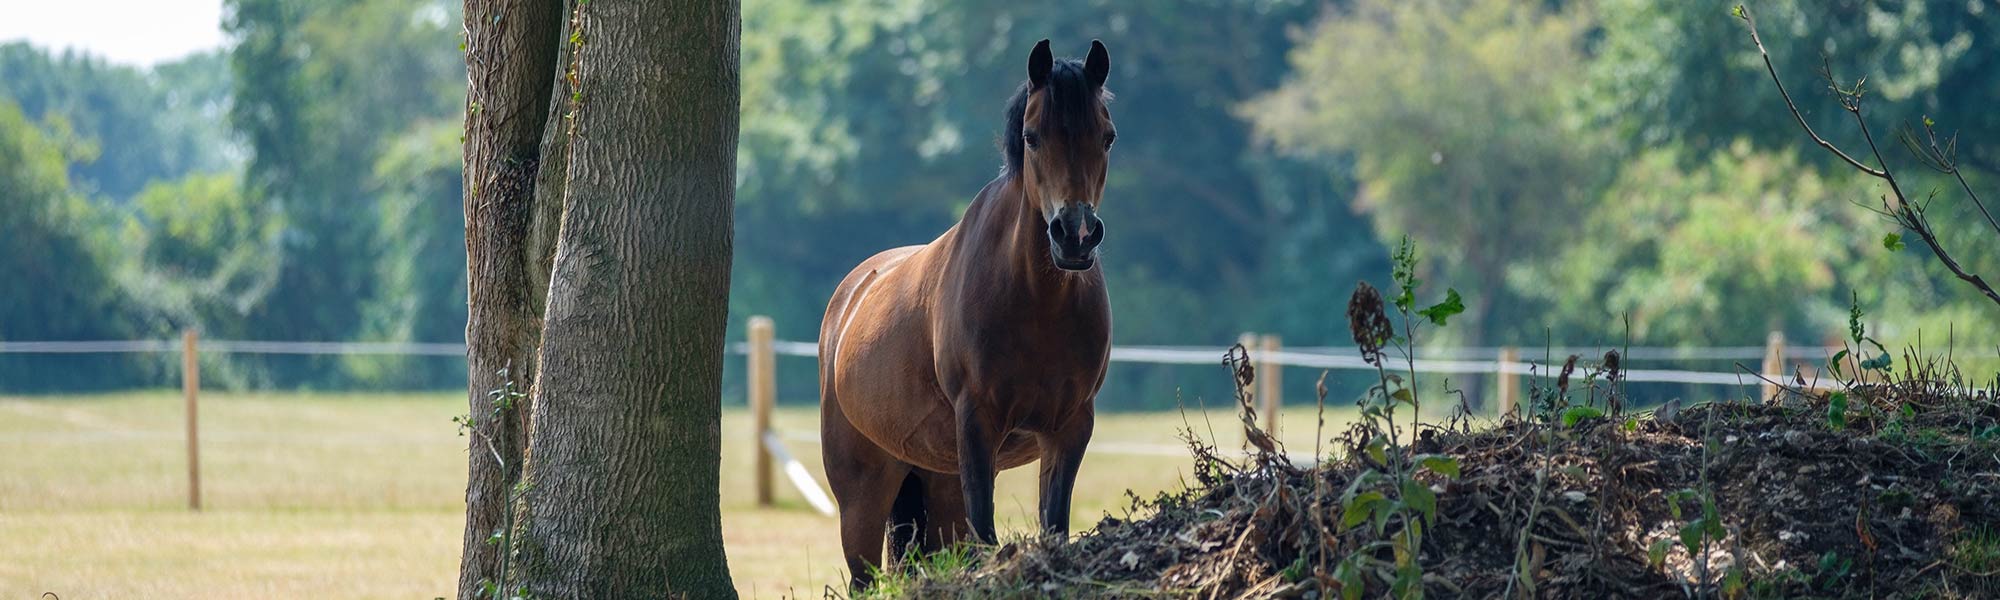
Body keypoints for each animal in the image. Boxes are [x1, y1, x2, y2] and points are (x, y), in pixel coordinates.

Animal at [817, 38, 1117, 589]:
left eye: (1107, 136)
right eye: (1031, 136)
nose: (1076, 235)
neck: (1036, 304)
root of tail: (848, 301)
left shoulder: (1069, 426)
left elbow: (1053, 524)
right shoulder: (978, 423)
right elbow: (986, 531)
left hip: (935, 482)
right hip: (864, 497)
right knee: (864, 576)